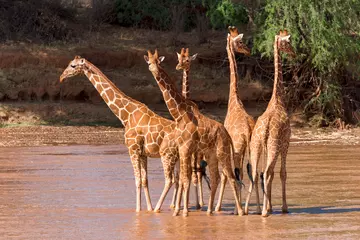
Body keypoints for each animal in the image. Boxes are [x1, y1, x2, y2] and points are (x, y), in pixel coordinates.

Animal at [60, 55, 181, 212]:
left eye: (73, 66)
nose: (61, 77)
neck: (126, 115)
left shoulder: (132, 149)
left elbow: (137, 180)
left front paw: (138, 211)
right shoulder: (143, 153)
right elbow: (144, 180)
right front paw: (148, 209)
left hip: (167, 154)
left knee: (170, 179)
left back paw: (159, 209)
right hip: (178, 157)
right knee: (181, 179)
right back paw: (174, 208)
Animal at [143, 48, 242, 216]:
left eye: (158, 62)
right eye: (149, 62)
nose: (154, 71)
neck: (180, 114)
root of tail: (227, 134)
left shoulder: (186, 148)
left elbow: (185, 179)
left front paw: (182, 211)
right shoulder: (183, 148)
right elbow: (183, 178)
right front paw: (179, 210)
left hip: (222, 152)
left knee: (230, 177)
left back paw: (240, 212)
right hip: (211, 154)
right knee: (216, 177)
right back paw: (209, 210)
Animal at [245, 30, 296, 218]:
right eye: (288, 42)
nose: (294, 53)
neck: (278, 99)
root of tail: (265, 129)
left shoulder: (266, 147)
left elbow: (271, 175)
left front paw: (272, 206)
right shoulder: (286, 143)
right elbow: (282, 173)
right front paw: (283, 207)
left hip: (256, 145)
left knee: (255, 172)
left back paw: (248, 209)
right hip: (273, 146)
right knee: (265, 171)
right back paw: (264, 212)